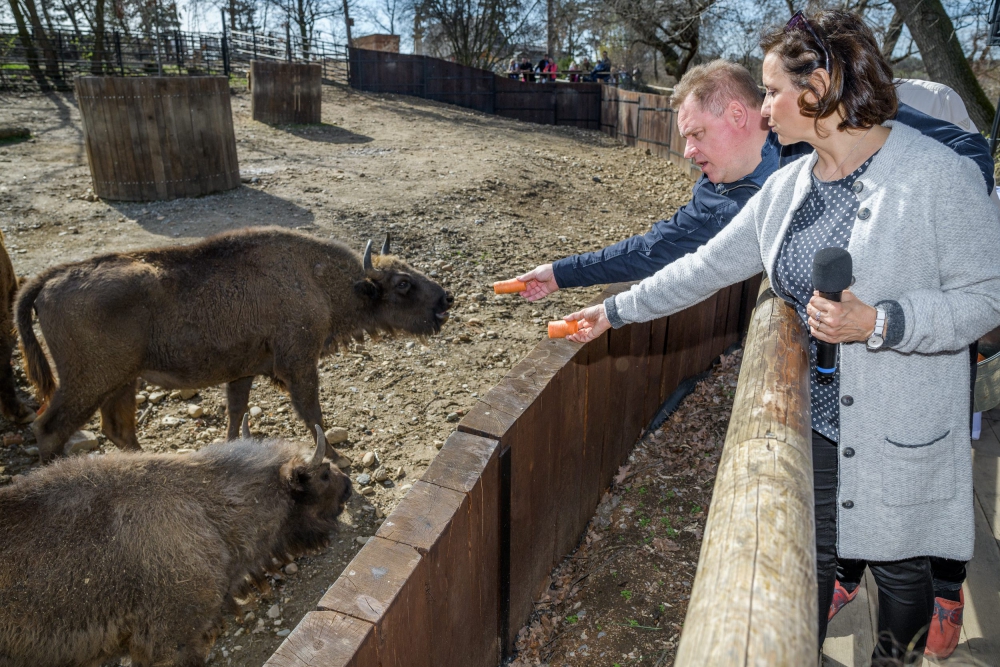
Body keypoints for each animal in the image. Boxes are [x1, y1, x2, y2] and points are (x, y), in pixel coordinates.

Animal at [14, 227, 454, 462]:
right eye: (402, 283)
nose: (446, 299)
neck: (319, 281)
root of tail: (50, 278)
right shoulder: (300, 366)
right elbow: (312, 413)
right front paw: (334, 455)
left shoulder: (242, 373)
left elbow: (235, 412)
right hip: (88, 382)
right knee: (50, 428)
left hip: (121, 381)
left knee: (117, 429)